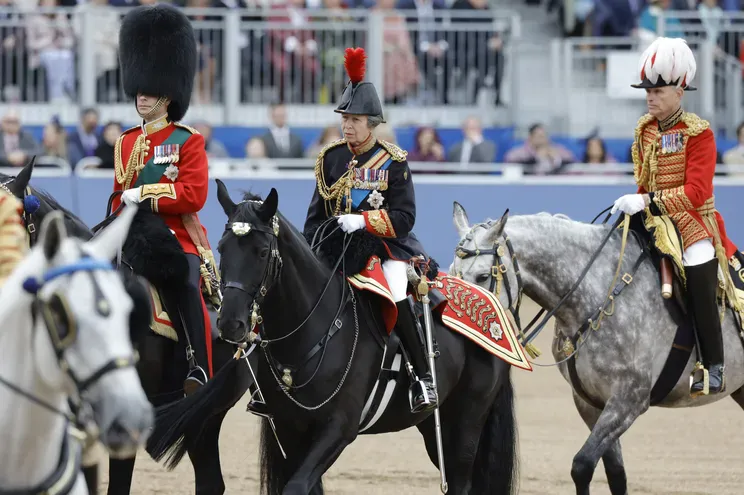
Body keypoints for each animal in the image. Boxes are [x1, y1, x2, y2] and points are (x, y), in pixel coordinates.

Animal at [144, 182, 516, 495]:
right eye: (221, 247)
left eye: (262, 252)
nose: (230, 323)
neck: (314, 327)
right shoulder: (290, 429)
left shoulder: (338, 428)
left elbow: (297, 487)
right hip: (433, 427)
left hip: (466, 421)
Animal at [448, 203, 744, 495]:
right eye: (451, 273)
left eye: (483, 276)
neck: (600, 295)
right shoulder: (590, 403)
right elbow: (615, 473)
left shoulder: (629, 400)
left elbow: (582, 465)